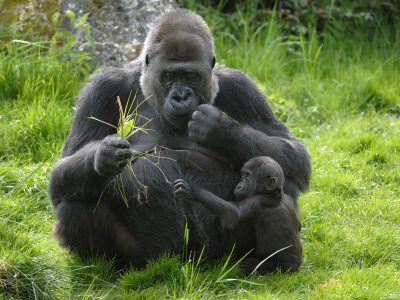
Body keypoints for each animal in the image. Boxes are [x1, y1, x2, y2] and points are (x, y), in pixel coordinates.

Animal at [173, 157, 302, 274]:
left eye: (248, 177)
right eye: (242, 176)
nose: (239, 185)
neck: (273, 192)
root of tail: (296, 268)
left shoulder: (257, 200)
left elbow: (234, 213)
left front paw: (194, 192)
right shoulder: (287, 197)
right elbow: (298, 224)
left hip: (279, 269)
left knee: (248, 264)